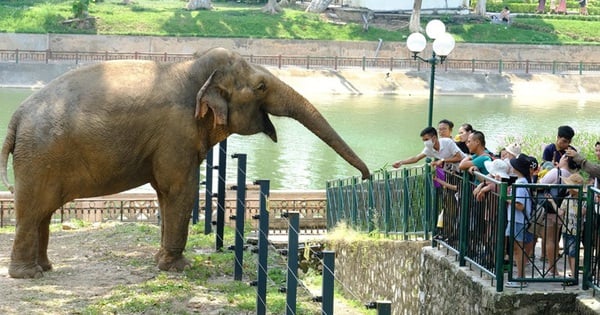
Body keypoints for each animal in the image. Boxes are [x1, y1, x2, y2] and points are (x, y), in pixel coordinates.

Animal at [0, 46, 368, 278]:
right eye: (262, 86)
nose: (365, 177)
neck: (192, 68)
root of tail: (16, 117)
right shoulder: (176, 132)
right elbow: (180, 188)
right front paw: (179, 268)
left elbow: (166, 193)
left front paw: (162, 261)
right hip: (39, 156)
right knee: (33, 211)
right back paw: (29, 276)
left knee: (43, 212)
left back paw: (45, 268)